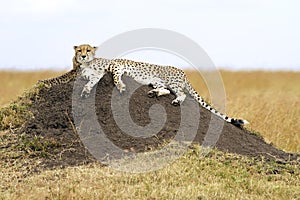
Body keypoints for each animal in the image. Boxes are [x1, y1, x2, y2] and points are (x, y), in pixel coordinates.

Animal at [77, 46, 248, 126]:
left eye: (86, 51)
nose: (82, 57)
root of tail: (183, 72)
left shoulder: (117, 67)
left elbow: (115, 77)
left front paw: (121, 87)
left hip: (173, 82)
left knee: (181, 94)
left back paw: (176, 101)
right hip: (157, 81)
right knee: (165, 90)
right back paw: (155, 93)